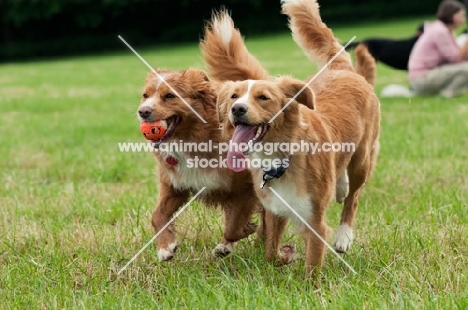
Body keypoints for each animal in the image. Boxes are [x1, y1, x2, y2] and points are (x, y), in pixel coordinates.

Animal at [137, 68, 262, 262]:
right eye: (145, 95)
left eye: (170, 96)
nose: (142, 111)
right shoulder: (175, 186)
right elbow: (157, 215)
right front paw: (165, 247)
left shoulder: (246, 187)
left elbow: (233, 226)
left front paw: (245, 230)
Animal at [201, 0, 380, 282]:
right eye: (233, 96)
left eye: (263, 97)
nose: (237, 109)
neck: (281, 158)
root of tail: (340, 69)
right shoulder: (276, 209)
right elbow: (270, 252)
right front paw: (287, 255)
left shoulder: (314, 219)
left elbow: (312, 264)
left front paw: (309, 285)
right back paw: (340, 187)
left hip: (363, 157)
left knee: (354, 197)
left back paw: (344, 235)